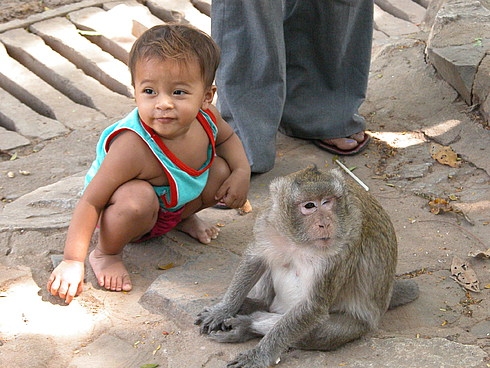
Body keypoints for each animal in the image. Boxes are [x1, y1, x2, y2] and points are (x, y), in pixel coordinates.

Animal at [195, 167, 418, 368]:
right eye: (309, 206)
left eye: (327, 202)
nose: (325, 223)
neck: (298, 240)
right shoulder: (268, 218)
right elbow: (255, 258)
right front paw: (223, 309)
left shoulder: (343, 247)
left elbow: (313, 306)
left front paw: (259, 354)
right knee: (272, 261)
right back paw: (255, 304)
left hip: (358, 325)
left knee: (317, 333)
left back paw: (247, 324)